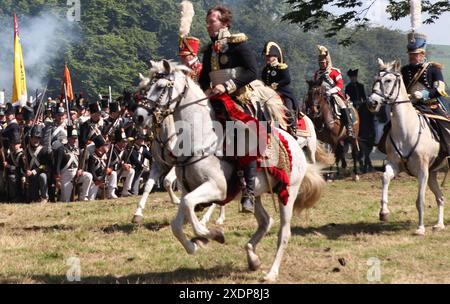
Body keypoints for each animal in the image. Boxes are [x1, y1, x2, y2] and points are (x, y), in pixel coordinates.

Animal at [134, 60, 326, 282]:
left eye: (162, 87)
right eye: (145, 88)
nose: (139, 117)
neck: (201, 138)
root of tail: (293, 143)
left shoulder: (217, 188)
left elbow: (190, 206)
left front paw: (211, 235)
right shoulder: (188, 188)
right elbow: (178, 220)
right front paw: (194, 245)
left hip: (288, 191)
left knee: (284, 233)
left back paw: (271, 273)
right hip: (255, 194)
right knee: (265, 221)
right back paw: (252, 258)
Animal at [370, 58, 446, 235]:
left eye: (388, 80)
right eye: (376, 79)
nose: (372, 102)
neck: (406, 130)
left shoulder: (423, 172)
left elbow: (420, 200)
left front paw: (420, 228)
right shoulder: (394, 165)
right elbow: (385, 177)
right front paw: (384, 212)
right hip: (433, 174)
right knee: (441, 198)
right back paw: (439, 225)